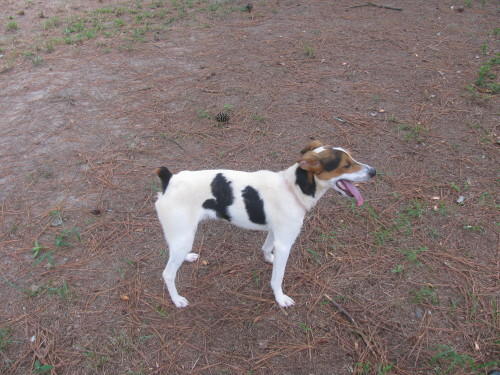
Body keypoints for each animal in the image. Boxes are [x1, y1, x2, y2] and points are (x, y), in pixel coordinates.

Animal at [152, 141, 376, 308]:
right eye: (346, 165)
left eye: (352, 158)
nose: (374, 171)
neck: (293, 188)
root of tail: (169, 180)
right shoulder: (285, 243)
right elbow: (277, 278)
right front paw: (280, 298)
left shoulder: (276, 234)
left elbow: (267, 248)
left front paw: (269, 259)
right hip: (183, 237)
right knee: (168, 273)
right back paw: (177, 300)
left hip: (181, 237)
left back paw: (188, 257)